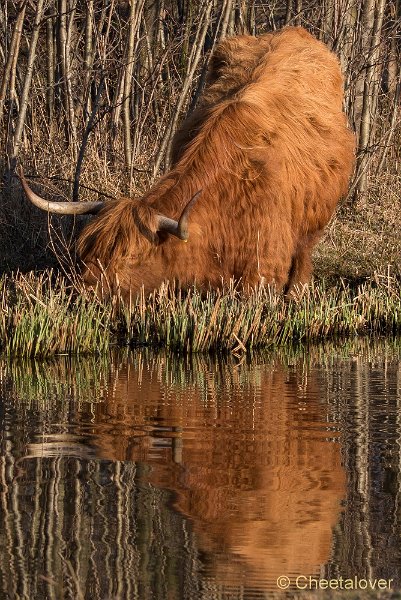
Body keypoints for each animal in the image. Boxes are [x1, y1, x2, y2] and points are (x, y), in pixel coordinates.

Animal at [20, 25, 354, 298]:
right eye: (88, 254)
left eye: (130, 257)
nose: (85, 293)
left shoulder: (263, 271)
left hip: (313, 221)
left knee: (304, 256)